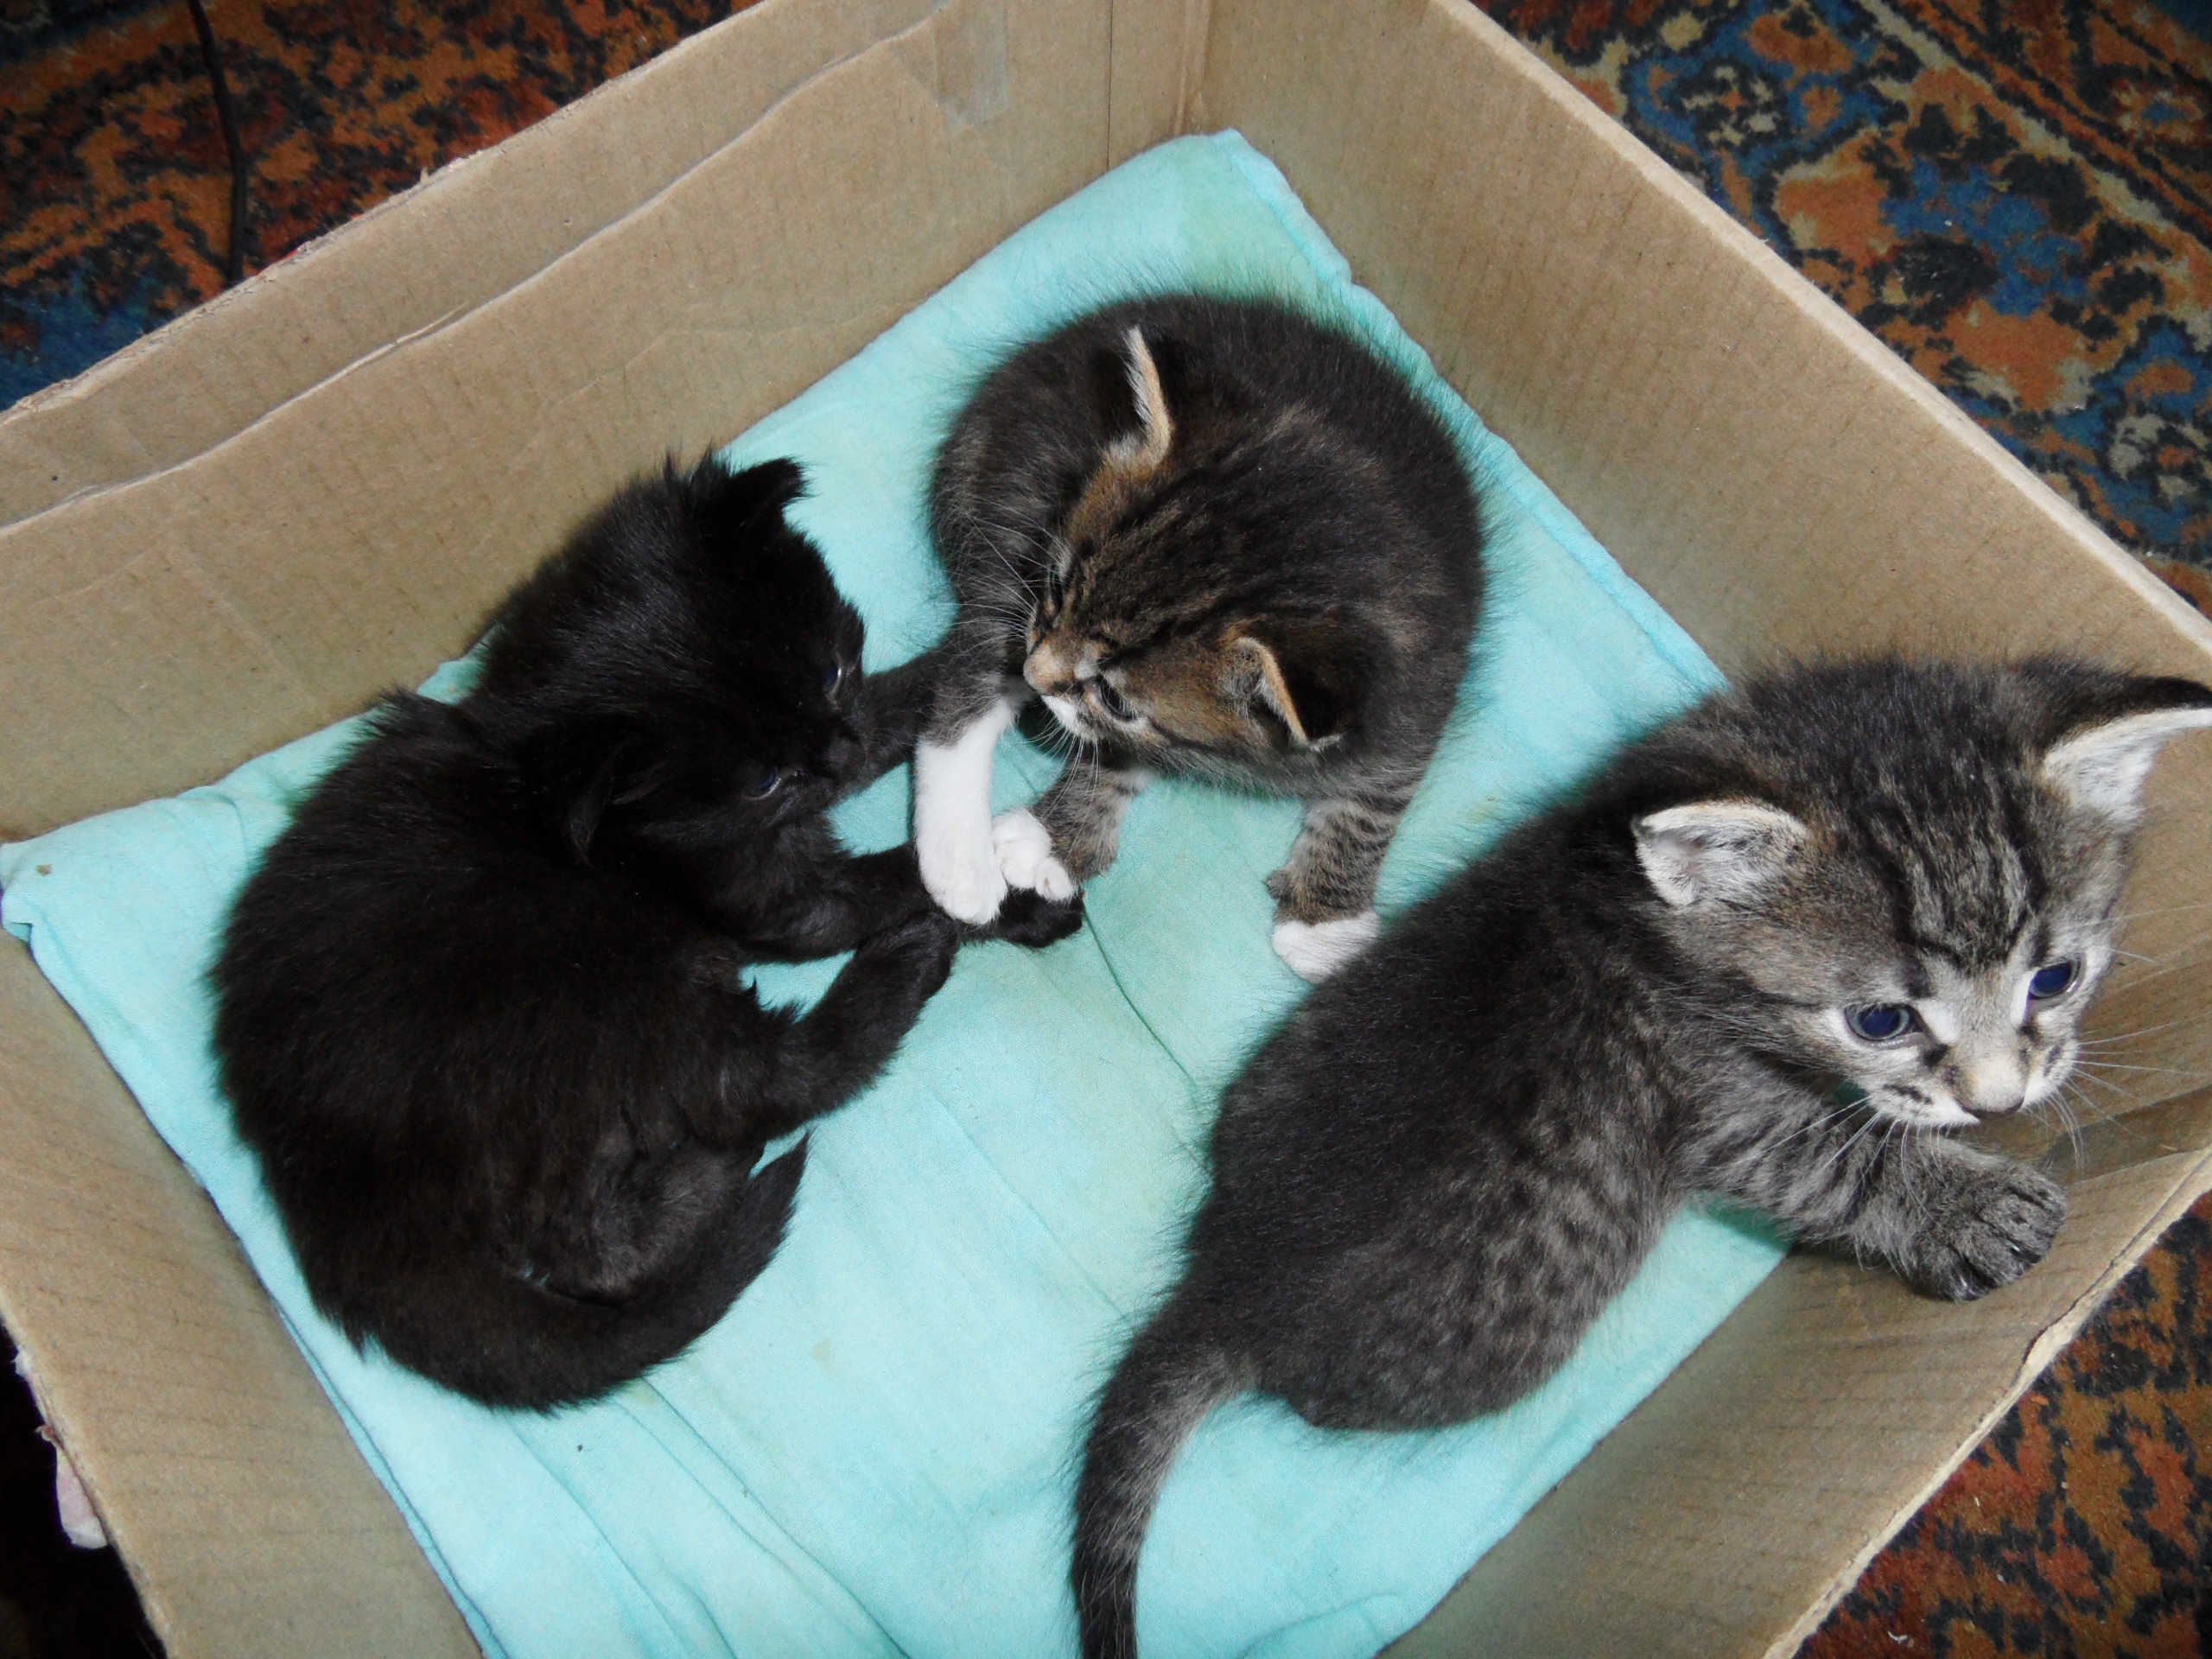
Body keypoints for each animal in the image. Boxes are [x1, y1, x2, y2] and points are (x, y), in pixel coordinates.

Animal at [213, 457, 1080, 1411]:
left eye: (831, 673)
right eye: (762, 781)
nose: (836, 757)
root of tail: (329, 1201)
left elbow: (905, 704)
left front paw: (1006, 675)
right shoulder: (761, 897)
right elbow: (892, 881)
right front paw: (996, 887)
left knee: (596, 1247)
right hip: (614, 990)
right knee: (751, 1098)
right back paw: (887, 986)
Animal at [914, 295, 1486, 981]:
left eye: (1117, 698)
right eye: (1055, 585)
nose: (1035, 675)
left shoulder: (1424, 686)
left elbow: (1378, 799)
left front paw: (1327, 923)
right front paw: (1053, 841)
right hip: (1017, 513)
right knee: (968, 676)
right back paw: (960, 864)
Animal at [1071, 656, 2212, 1659]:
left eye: (2055, 977)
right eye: (1880, 1018)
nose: (1998, 1099)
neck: (1647, 915)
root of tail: (1224, 1280)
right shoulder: (1720, 1106)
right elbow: (1838, 1159)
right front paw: (1972, 1211)